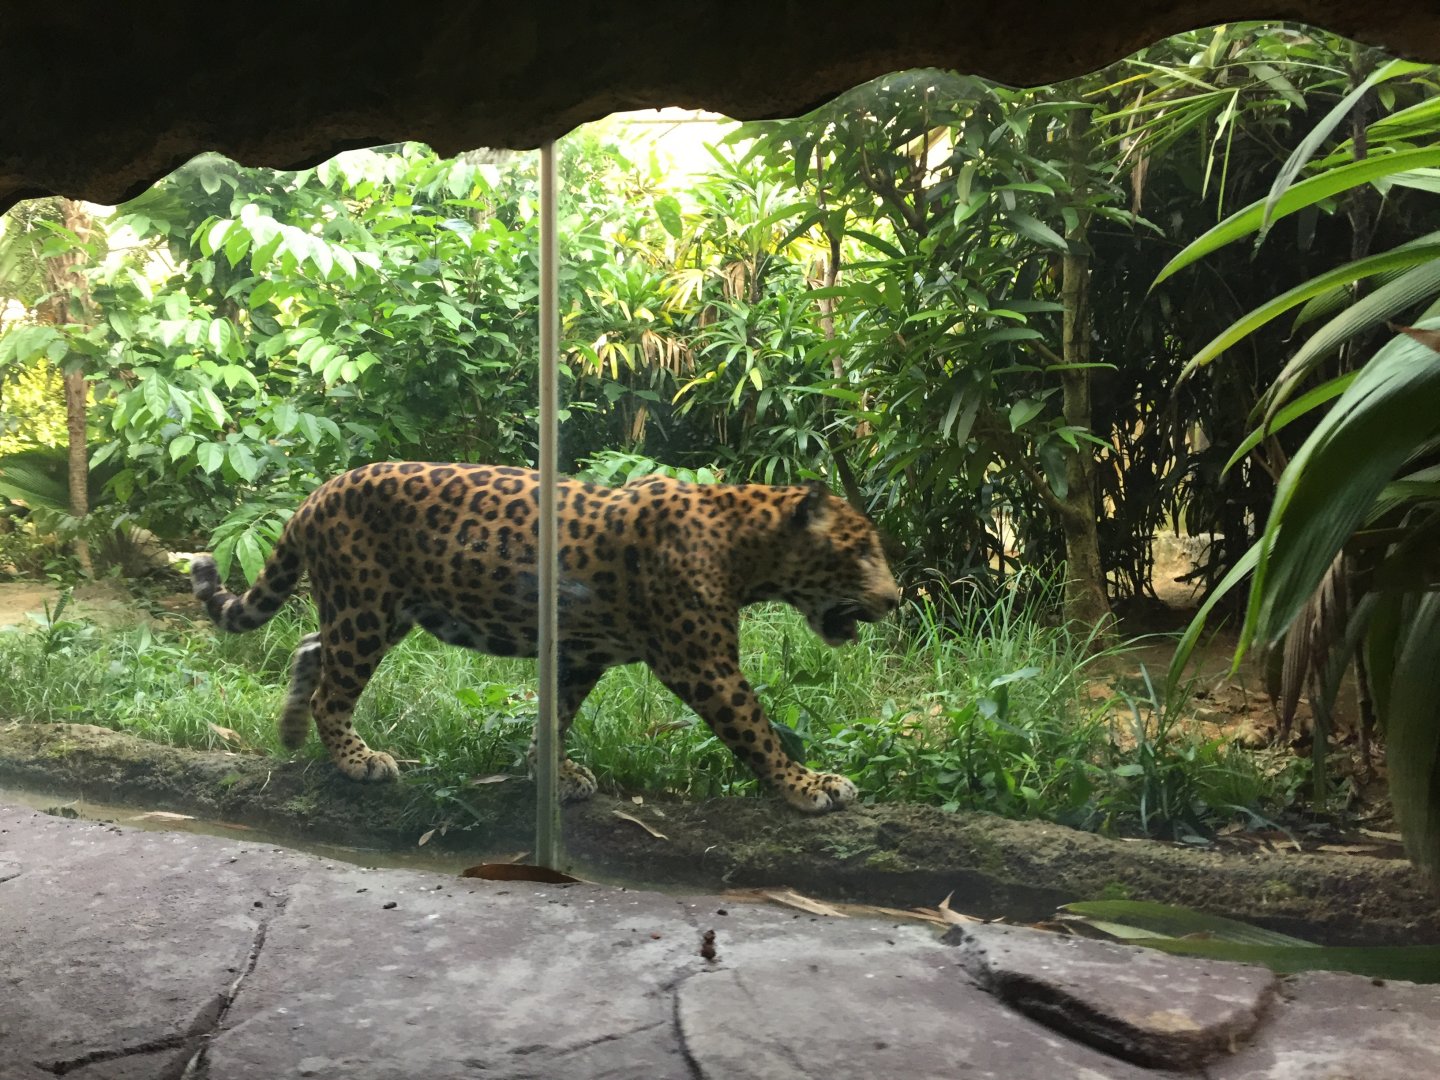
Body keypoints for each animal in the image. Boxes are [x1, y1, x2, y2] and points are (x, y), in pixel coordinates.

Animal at [189, 462, 900, 813]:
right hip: (366, 607)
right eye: (862, 553)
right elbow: (757, 729)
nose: (895, 600)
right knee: (332, 689)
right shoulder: (704, 666)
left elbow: (554, 716)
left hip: (378, 611)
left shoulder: (579, 656)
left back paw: (290, 733)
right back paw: (356, 760)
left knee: (312, 648)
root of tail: (317, 494)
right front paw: (808, 785)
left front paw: (551, 774)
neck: (745, 547)